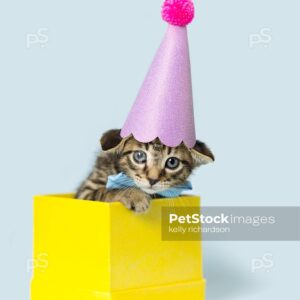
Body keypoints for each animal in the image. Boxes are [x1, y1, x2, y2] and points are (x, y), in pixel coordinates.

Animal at [76, 129, 214, 213]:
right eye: (139, 155)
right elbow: (107, 190)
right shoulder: (85, 192)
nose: (152, 179)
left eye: (172, 162)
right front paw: (135, 196)